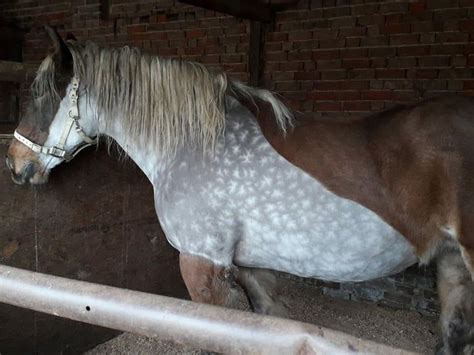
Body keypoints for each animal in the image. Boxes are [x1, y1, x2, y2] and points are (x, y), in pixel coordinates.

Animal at [5, 27, 474, 354]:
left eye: (40, 94)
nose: (14, 164)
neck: (196, 144)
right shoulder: (250, 268)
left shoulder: (202, 265)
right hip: (453, 266)